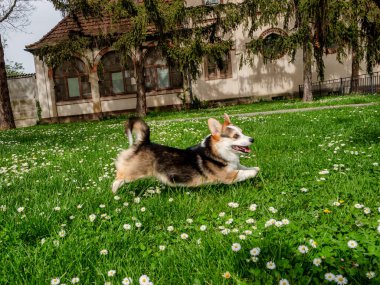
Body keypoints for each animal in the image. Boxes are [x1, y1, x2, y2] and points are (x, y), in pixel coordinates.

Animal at [111, 113, 260, 193]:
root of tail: (143, 142)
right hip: (133, 172)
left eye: (242, 132)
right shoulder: (228, 176)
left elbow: (246, 167)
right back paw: (114, 194)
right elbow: (246, 172)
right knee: (118, 178)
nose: (252, 139)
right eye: (236, 136)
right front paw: (254, 173)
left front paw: (256, 168)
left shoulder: (235, 166)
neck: (218, 152)